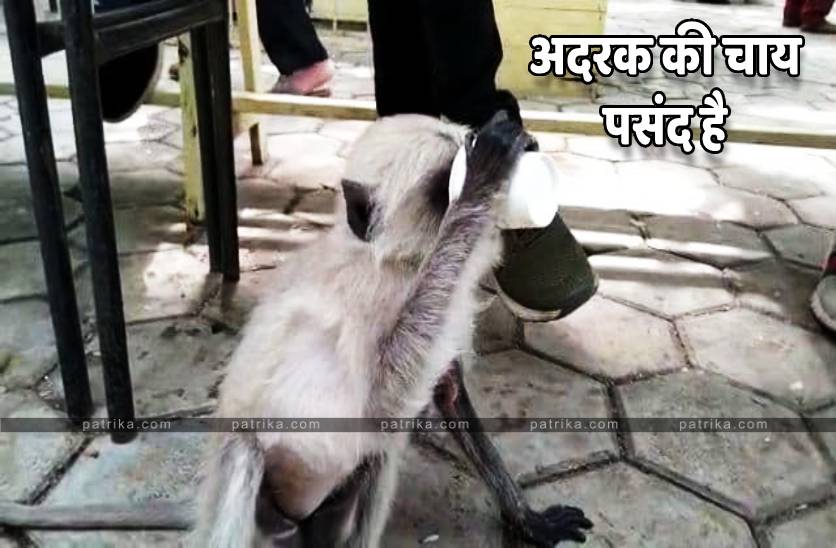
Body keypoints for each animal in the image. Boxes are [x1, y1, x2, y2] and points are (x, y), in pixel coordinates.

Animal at [190, 112, 593, 547]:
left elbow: (448, 393)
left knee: (376, 461)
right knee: (253, 459)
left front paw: (526, 518)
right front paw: (480, 182)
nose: (523, 150)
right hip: (250, 468)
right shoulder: (371, 298)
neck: (395, 262)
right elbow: (381, 400)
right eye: (446, 184)